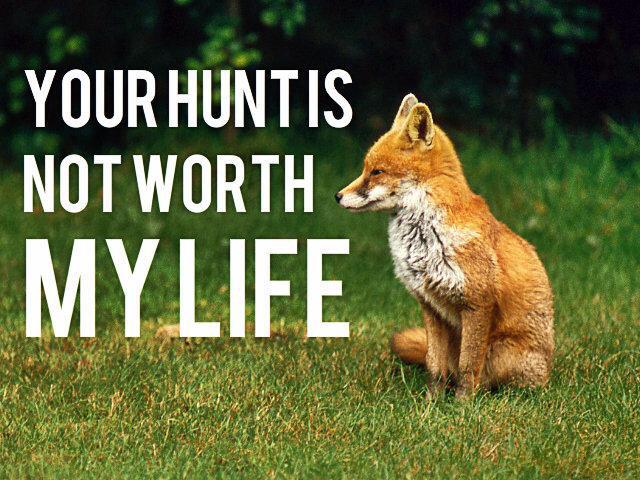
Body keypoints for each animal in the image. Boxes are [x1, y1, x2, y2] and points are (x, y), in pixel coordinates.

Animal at [335, 94, 554, 399]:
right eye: (365, 169)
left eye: (377, 172)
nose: (338, 196)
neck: (426, 237)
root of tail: (548, 368)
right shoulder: (431, 306)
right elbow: (434, 366)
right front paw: (430, 403)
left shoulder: (477, 303)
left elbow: (467, 368)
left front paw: (463, 406)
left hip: (503, 354)